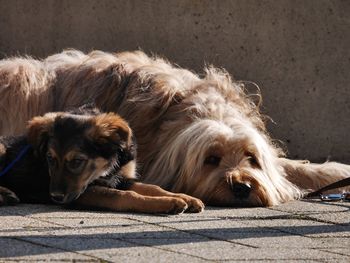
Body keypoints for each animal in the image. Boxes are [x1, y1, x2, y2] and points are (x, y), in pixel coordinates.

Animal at [0, 107, 204, 214]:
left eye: (77, 161)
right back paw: (5, 194)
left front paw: (186, 198)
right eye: (50, 158)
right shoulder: (85, 192)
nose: (55, 197)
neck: (104, 166)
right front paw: (168, 203)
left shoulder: (120, 178)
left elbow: (152, 187)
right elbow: (126, 196)